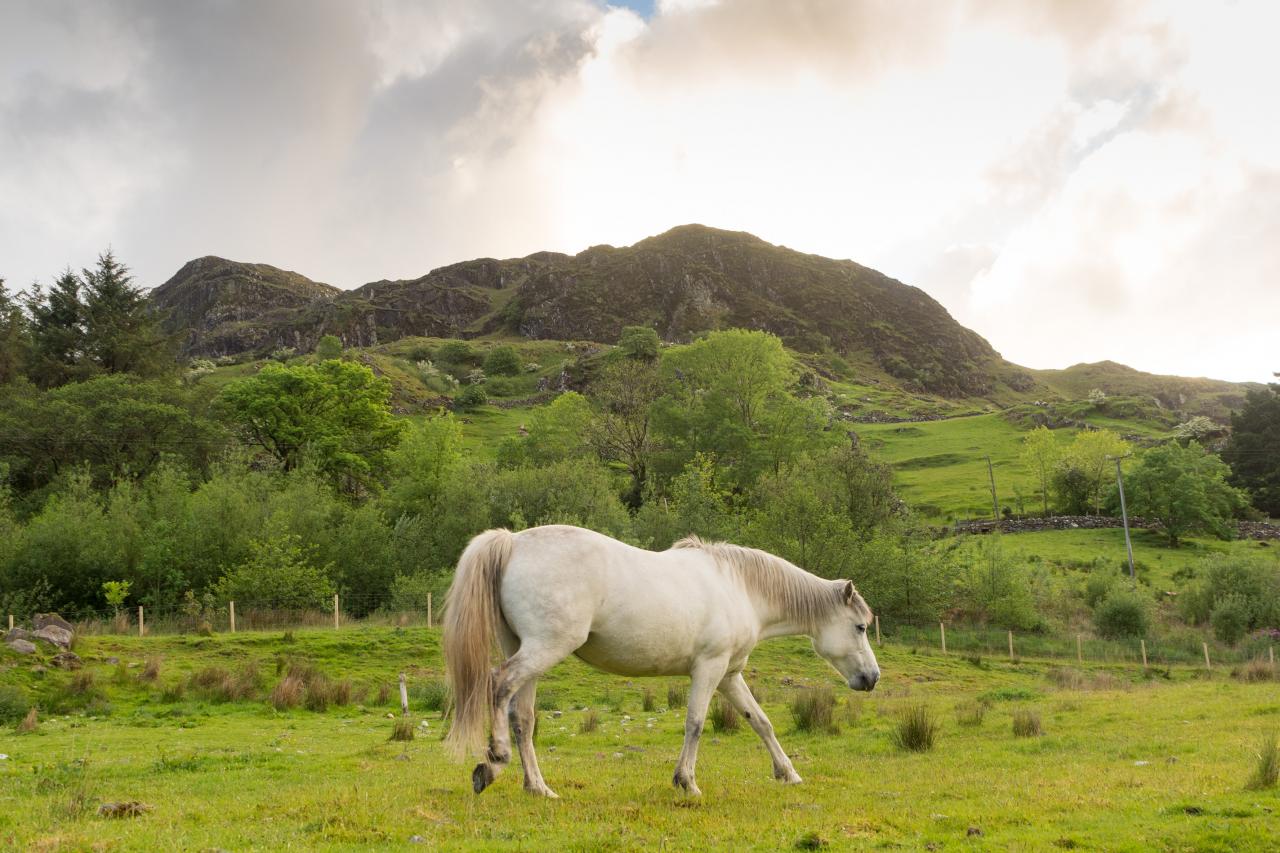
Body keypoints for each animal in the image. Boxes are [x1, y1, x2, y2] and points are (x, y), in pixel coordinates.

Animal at [442, 522, 880, 794]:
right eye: (860, 627)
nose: (872, 678)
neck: (740, 586)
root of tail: (513, 541)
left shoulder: (729, 675)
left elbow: (761, 722)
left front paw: (788, 773)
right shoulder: (709, 669)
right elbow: (696, 723)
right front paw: (687, 782)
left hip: (529, 650)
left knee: (524, 717)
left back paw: (538, 787)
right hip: (544, 649)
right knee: (499, 685)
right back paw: (493, 762)